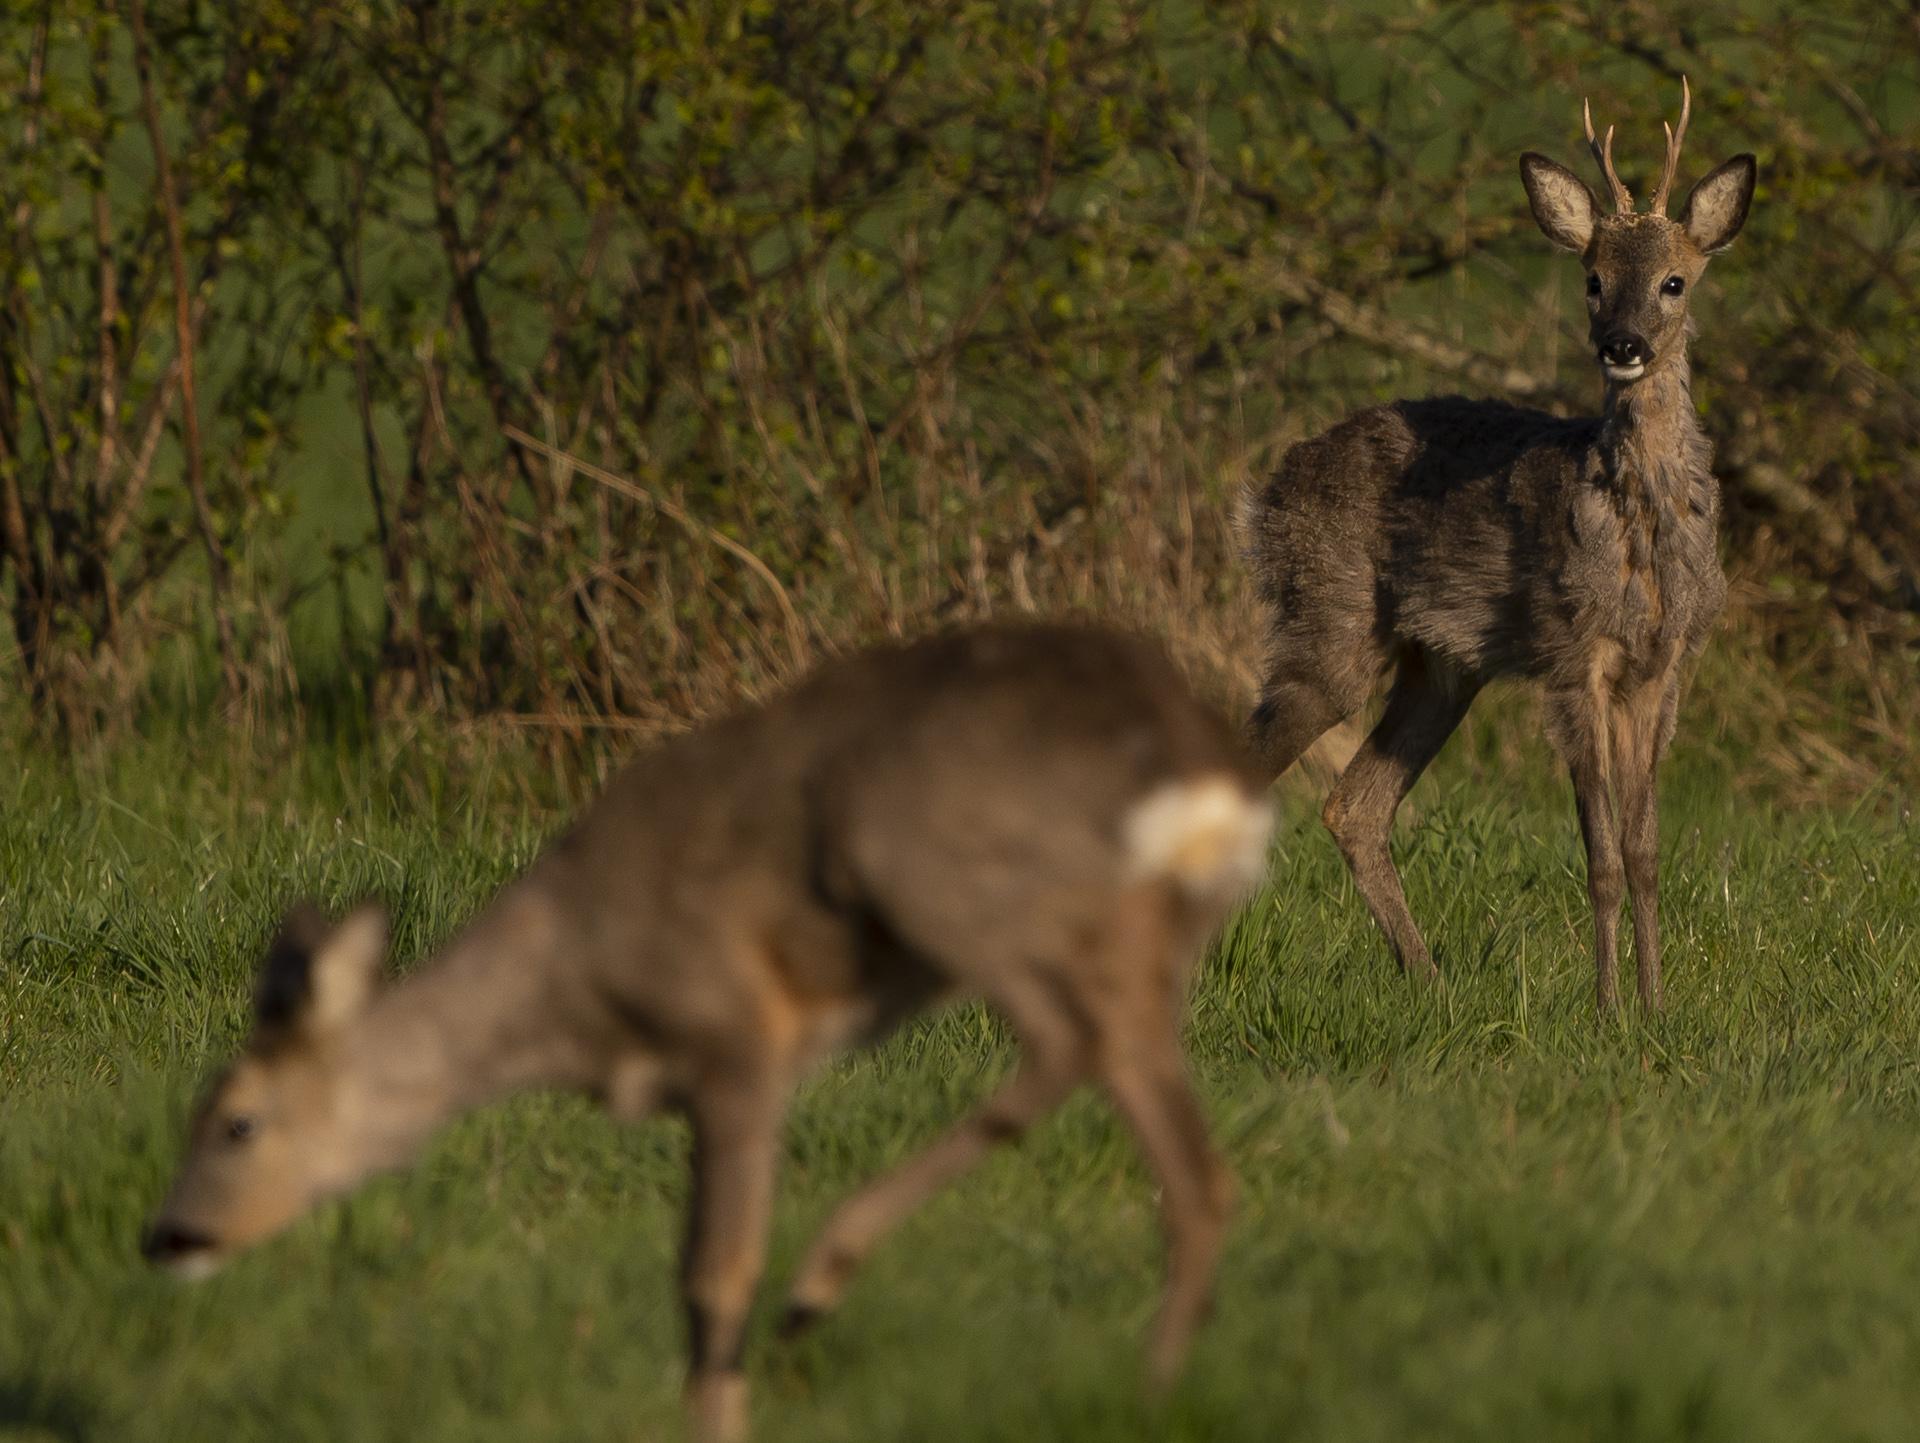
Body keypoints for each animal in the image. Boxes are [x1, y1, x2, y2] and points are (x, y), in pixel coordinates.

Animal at [139, 629, 1274, 1443]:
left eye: (236, 1123)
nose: (166, 1236)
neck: (577, 989)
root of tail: (1197, 764)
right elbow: (689, 1276)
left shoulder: (735, 1039)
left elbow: (715, 1275)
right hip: (1141, 935)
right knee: (1192, 1165)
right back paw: (1151, 1393)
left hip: (944, 880)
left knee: (1068, 1049)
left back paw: (820, 1286)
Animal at [1244, 81, 1758, 1013]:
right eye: (1592, 280)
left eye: (1674, 281)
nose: (1623, 345)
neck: (1642, 542)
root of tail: (1262, 495)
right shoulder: (1571, 655)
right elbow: (1600, 857)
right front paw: (1608, 1009)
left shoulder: (1661, 667)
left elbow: (1646, 852)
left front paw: (1657, 1005)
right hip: (1326, 623)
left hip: (1444, 664)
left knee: (1353, 806)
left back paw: (1431, 981)